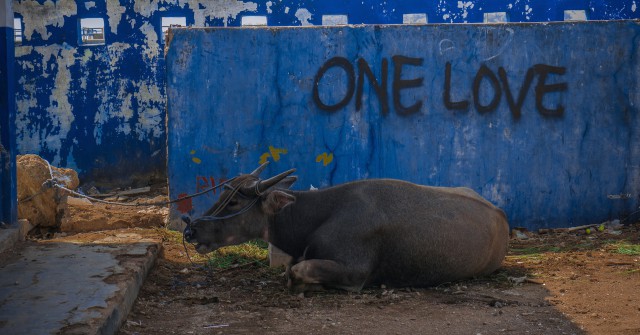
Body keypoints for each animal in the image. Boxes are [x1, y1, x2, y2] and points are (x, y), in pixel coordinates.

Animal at [185, 163, 510, 292]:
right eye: (221, 196)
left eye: (234, 202)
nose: (192, 229)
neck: (319, 216)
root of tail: (500, 215)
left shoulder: (356, 272)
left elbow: (296, 271)